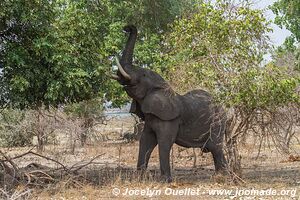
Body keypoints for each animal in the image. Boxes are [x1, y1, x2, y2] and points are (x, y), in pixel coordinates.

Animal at [109, 24, 227, 181]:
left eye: (143, 74)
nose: (127, 27)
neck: (162, 87)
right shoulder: (151, 117)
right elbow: (145, 140)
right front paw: (140, 177)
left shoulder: (169, 118)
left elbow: (164, 142)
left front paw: (165, 181)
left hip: (217, 123)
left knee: (216, 147)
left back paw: (223, 176)